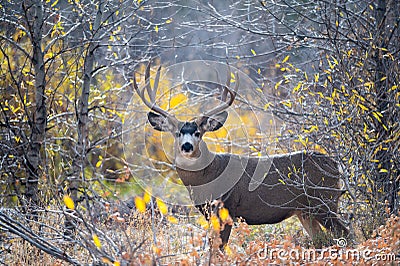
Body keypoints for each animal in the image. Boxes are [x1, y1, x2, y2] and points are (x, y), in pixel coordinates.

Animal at [133, 62, 348, 249]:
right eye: (177, 132)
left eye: (198, 133)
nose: (187, 146)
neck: (208, 176)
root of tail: (334, 164)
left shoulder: (227, 208)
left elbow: (218, 249)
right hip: (306, 211)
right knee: (321, 239)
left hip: (324, 201)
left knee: (346, 232)